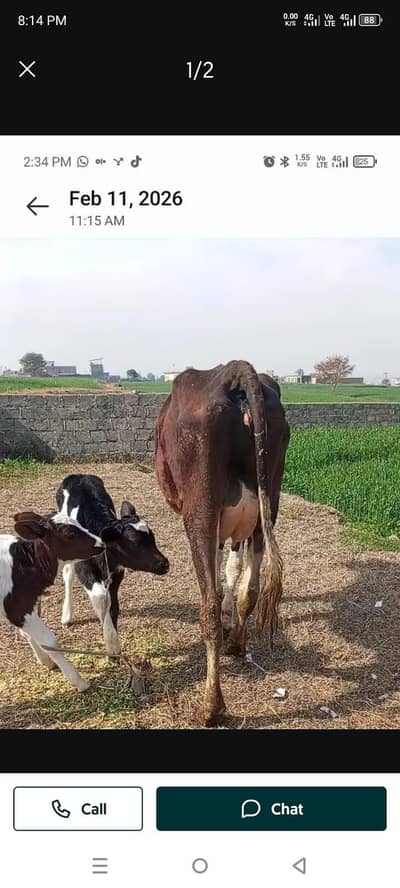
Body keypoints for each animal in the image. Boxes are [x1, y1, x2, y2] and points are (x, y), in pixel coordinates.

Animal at [0, 510, 103, 691]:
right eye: (69, 534)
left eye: (78, 522)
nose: (101, 543)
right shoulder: (18, 608)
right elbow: (50, 642)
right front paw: (79, 682)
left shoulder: (27, 607)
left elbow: (29, 635)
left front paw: (46, 661)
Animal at [56, 474, 169, 656]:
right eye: (134, 543)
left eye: (153, 539)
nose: (165, 564)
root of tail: (78, 475)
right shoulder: (84, 568)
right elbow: (101, 597)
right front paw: (111, 640)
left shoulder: (116, 572)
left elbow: (113, 604)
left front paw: (113, 642)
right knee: (67, 572)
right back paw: (67, 614)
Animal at [155, 360, 290, 725]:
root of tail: (235, 371)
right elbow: (232, 569)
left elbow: (218, 576)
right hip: (267, 504)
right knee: (251, 589)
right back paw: (237, 644)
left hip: (199, 512)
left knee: (210, 610)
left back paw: (210, 707)